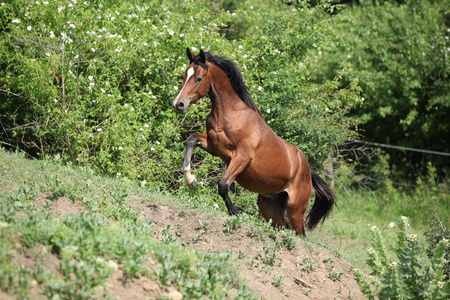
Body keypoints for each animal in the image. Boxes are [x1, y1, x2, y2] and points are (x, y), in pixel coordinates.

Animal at [172, 48, 334, 234]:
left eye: (198, 78)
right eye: (184, 75)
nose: (178, 104)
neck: (230, 114)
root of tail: (308, 171)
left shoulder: (242, 156)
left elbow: (223, 185)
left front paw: (235, 211)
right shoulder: (214, 146)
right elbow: (191, 140)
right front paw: (191, 181)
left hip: (295, 210)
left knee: (298, 234)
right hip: (270, 208)